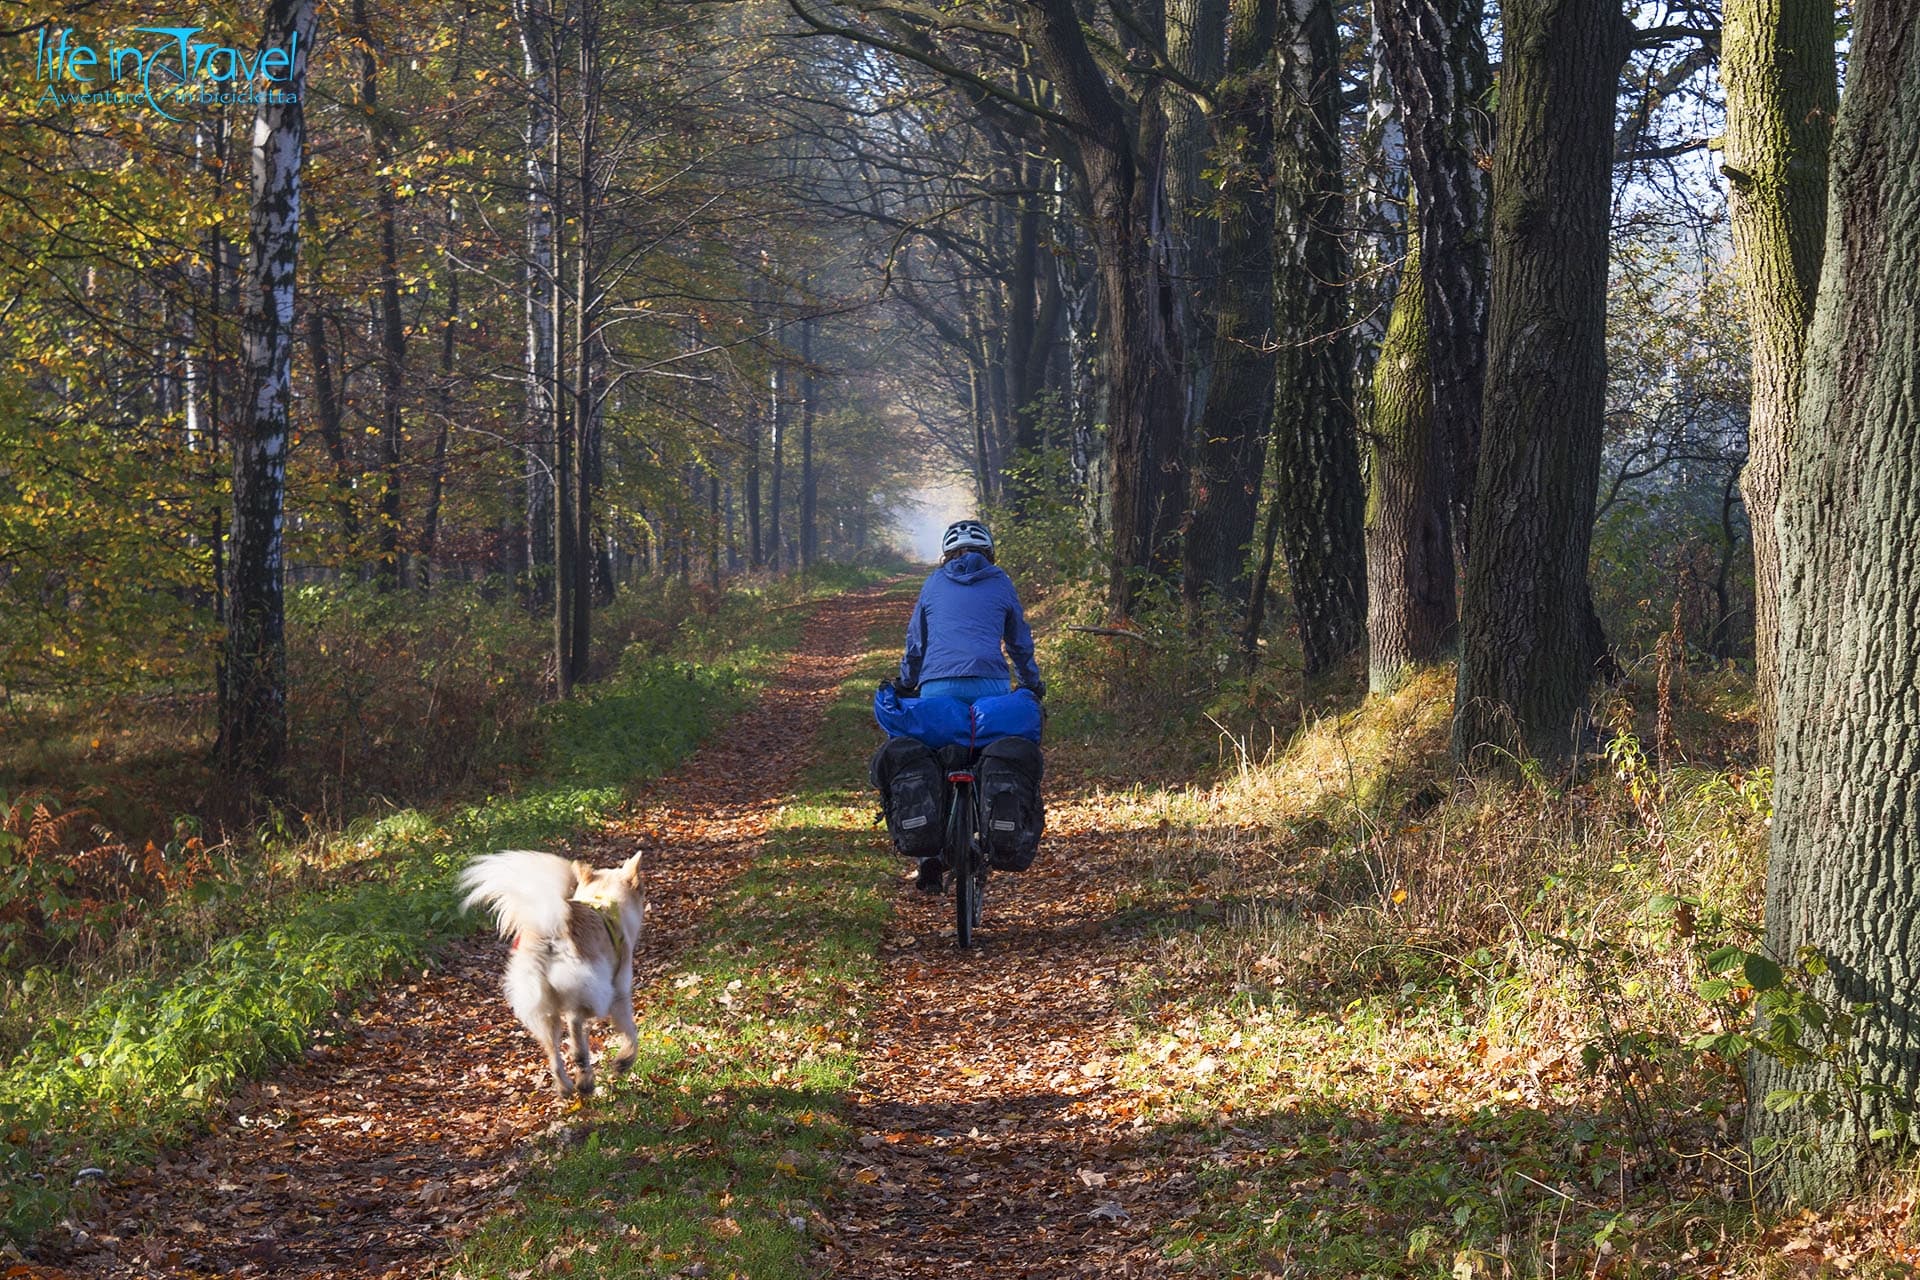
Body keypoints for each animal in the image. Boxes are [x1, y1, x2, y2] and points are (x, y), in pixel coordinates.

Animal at [456, 852, 645, 1105]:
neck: (604, 900)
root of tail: (549, 932)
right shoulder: (620, 992)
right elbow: (630, 1032)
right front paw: (624, 1060)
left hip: (543, 1009)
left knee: (554, 1051)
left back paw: (568, 1087)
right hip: (594, 993)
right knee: (576, 1030)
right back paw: (585, 1080)